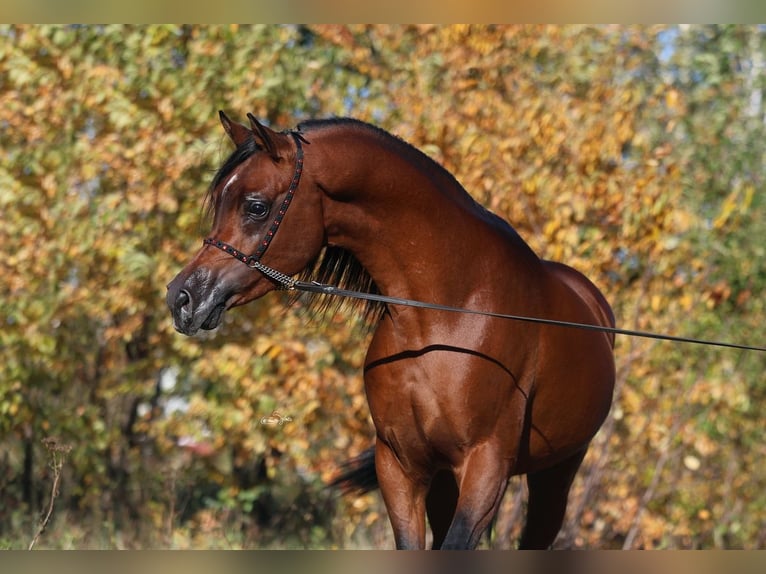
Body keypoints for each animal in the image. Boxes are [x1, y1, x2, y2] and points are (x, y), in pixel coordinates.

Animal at [166, 111, 616, 549]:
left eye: (256, 207)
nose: (182, 297)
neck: (445, 316)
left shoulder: (486, 465)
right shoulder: (401, 465)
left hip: (556, 472)